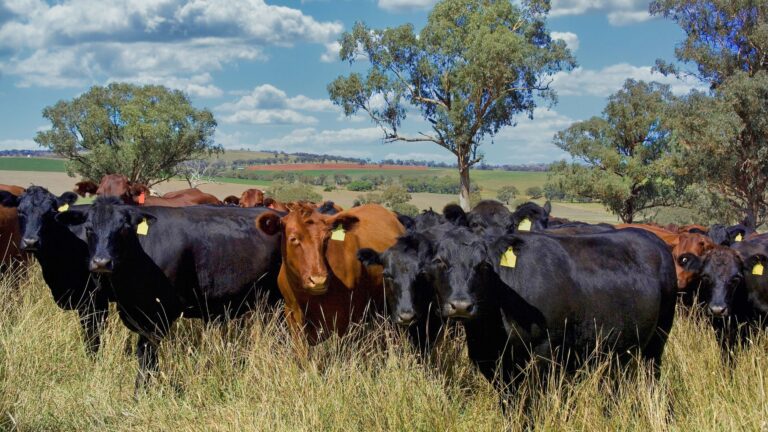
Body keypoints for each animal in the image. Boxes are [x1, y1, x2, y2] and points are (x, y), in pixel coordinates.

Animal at [56, 197, 283, 388]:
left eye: (124, 229)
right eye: (88, 229)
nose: (101, 262)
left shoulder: (160, 314)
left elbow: (147, 354)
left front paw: (142, 390)